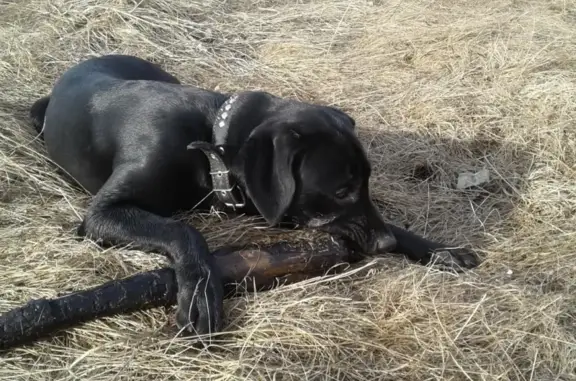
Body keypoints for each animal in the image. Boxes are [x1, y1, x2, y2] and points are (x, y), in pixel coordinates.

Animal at [29, 55, 480, 336]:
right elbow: (182, 231)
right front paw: (201, 291)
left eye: (367, 182)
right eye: (340, 190)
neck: (208, 145)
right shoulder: (103, 213)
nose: (385, 245)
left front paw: (439, 249)